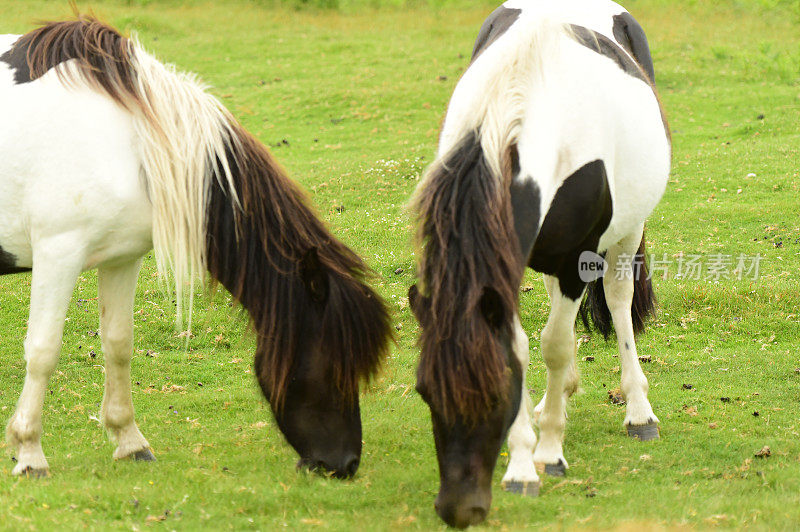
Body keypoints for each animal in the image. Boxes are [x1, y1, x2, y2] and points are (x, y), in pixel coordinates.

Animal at [0, 18, 390, 480]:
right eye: (334, 365)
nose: (344, 463)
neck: (130, 139)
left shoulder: (121, 259)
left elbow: (118, 344)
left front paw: (130, 441)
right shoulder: (58, 254)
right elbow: (43, 351)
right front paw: (29, 454)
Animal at [406, 1, 668, 528]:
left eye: (494, 398)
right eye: (425, 391)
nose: (459, 508)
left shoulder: (576, 259)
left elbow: (555, 345)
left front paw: (548, 452)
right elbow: (524, 347)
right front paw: (523, 462)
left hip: (627, 232)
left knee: (619, 300)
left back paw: (638, 411)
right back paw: (559, 395)